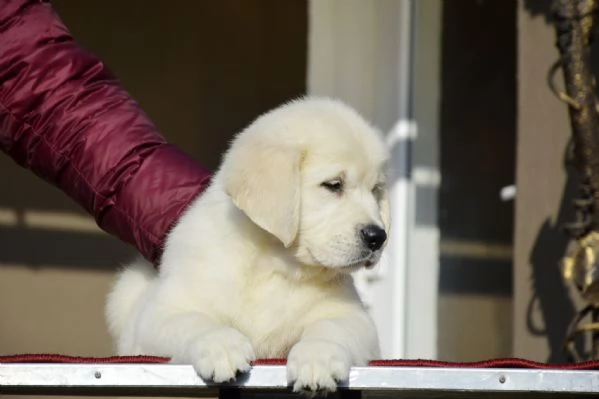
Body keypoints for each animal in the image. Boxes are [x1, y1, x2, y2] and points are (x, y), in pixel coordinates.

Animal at [105, 97, 392, 394]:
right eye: (334, 185)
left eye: (376, 190)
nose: (378, 237)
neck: (275, 262)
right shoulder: (160, 313)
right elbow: (194, 322)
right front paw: (221, 347)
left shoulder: (354, 318)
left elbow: (331, 327)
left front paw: (318, 357)